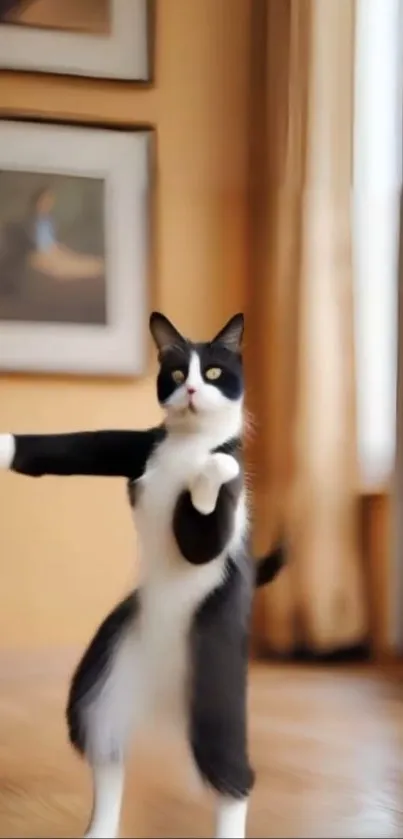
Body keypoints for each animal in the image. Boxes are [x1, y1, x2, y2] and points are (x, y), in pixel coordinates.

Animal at [0, 314, 284, 839]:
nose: (190, 388)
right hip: (101, 681)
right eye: (176, 372)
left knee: (233, 777)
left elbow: (210, 507)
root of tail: (166, 697)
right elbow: (65, 446)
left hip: (216, 696)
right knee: (106, 751)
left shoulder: (222, 517)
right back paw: (99, 829)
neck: (188, 444)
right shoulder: (134, 446)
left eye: (214, 372)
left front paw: (212, 466)